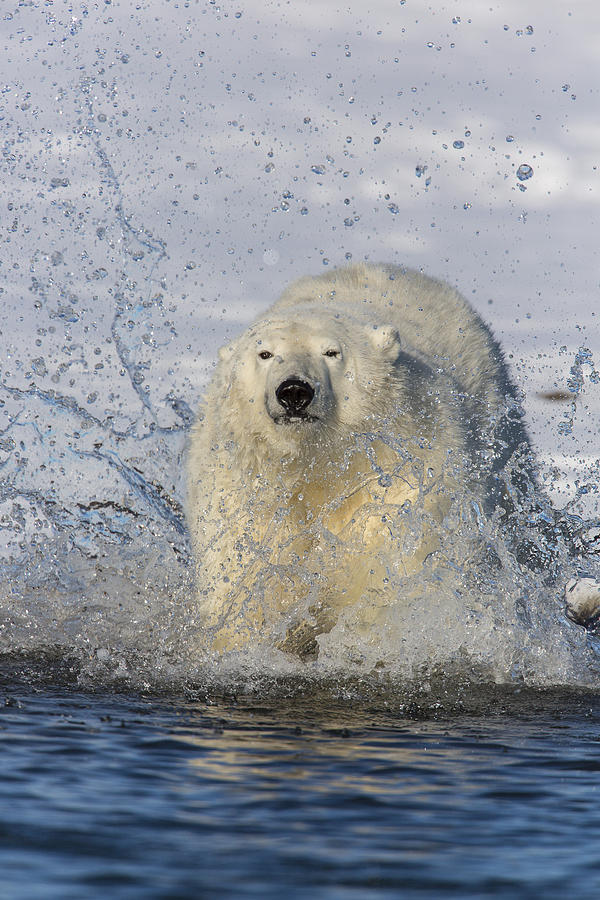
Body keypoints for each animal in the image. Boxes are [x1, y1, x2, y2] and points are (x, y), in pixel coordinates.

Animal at [188, 264, 536, 656]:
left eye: (331, 352)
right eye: (264, 353)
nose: (294, 391)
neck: (322, 462)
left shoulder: (400, 478)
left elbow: (394, 572)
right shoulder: (243, 490)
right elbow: (244, 578)